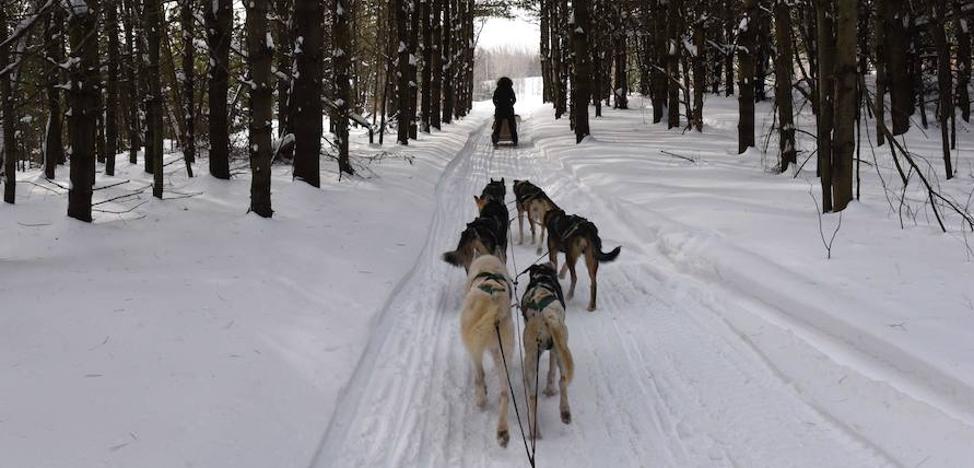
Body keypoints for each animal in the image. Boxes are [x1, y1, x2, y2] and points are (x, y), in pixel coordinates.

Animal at [460, 254, 520, 448]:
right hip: (504, 353)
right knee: (504, 393)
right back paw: (502, 431)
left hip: (475, 349)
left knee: (479, 376)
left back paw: (481, 399)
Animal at [524, 264, 576, 438]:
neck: (543, 278)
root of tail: (546, 314)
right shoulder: (556, 350)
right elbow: (553, 372)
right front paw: (550, 389)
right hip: (559, 350)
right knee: (562, 381)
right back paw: (565, 412)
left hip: (532, 360)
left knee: (532, 398)